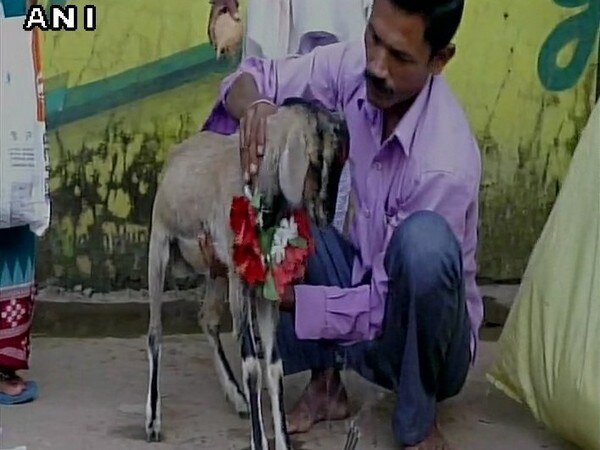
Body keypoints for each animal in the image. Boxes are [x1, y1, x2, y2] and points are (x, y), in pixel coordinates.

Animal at [146, 96, 350, 448]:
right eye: (315, 158)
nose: (325, 215)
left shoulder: (264, 286)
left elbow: (274, 365)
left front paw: (282, 441)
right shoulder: (241, 282)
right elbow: (252, 364)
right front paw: (259, 440)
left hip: (217, 270)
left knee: (207, 318)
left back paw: (237, 397)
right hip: (159, 246)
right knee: (155, 331)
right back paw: (153, 421)